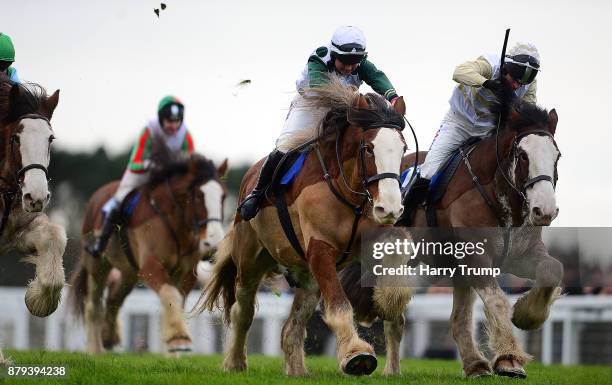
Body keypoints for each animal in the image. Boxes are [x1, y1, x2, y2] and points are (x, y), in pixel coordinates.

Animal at [70, 147, 227, 354]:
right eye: (199, 195)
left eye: (223, 196)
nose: (213, 243)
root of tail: (96, 196)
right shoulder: (151, 266)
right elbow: (170, 295)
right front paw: (179, 337)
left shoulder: (185, 273)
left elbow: (175, 301)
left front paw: (172, 349)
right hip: (97, 264)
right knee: (93, 306)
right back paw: (95, 351)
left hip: (129, 272)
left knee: (113, 299)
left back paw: (109, 337)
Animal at [196, 80, 406, 376]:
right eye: (368, 148)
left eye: (403, 148)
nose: (390, 208)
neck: (345, 191)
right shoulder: (320, 249)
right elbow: (339, 305)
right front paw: (356, 354)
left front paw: (389, 302)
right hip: (250, 261)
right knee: (243, 311)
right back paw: (235, 363)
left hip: (307, 277)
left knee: (292, 326)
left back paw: (297, 370)